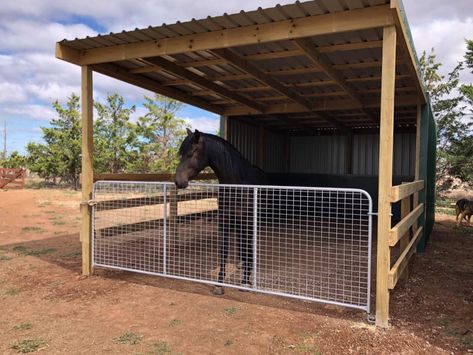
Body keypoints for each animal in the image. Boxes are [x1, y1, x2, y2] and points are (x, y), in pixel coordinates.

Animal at [175, 129, 268, 296]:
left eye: (191, 153)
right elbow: (224, 251)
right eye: (181, 153)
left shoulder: (247, 221)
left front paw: (245, 281)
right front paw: (219, 284)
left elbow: (248, 247)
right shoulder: (225, 220)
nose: (178, 181)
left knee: (248, 244)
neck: (237, 184)